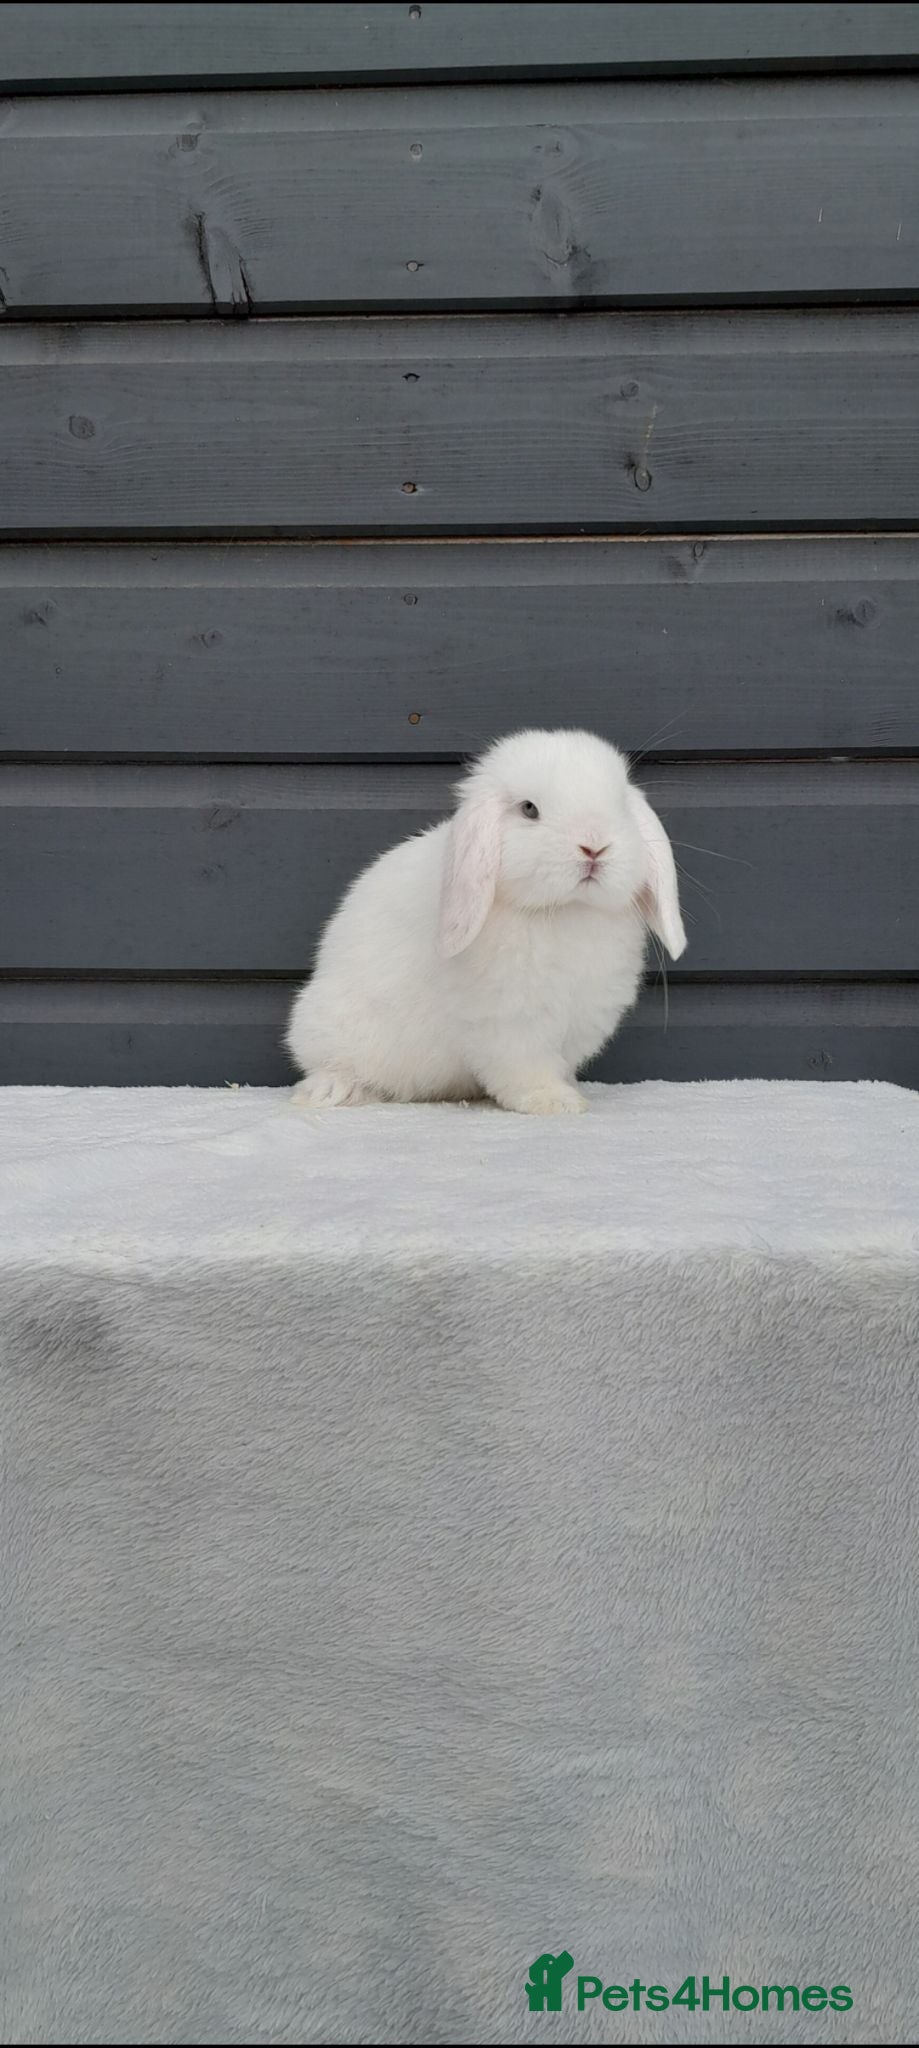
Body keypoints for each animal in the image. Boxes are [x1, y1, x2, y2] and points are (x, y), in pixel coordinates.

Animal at [286, 727, 685, 1116]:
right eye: (529, 809)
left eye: (620, 805)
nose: (595, 847)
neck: (566, 909)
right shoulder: (510, 1021)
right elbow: (526, 1067)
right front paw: (554, 1102)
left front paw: (567, 1090)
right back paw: (336, 1090)